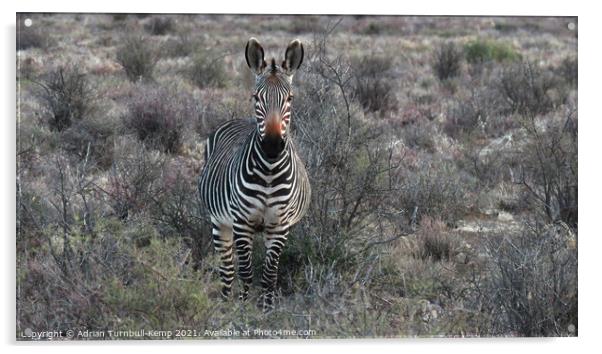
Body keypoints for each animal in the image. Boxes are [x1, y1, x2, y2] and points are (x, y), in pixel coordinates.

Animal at [198, 38, 310, 310]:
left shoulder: (279, 225)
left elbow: (269, 275)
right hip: (220, 222)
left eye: (290, 98)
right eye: (256, 97)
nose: (272, 145)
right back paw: (225, 305)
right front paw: (241, 309)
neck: (269, 172)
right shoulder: (242, 221)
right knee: (227, 269)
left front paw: (267, 309)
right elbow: (246, 272)